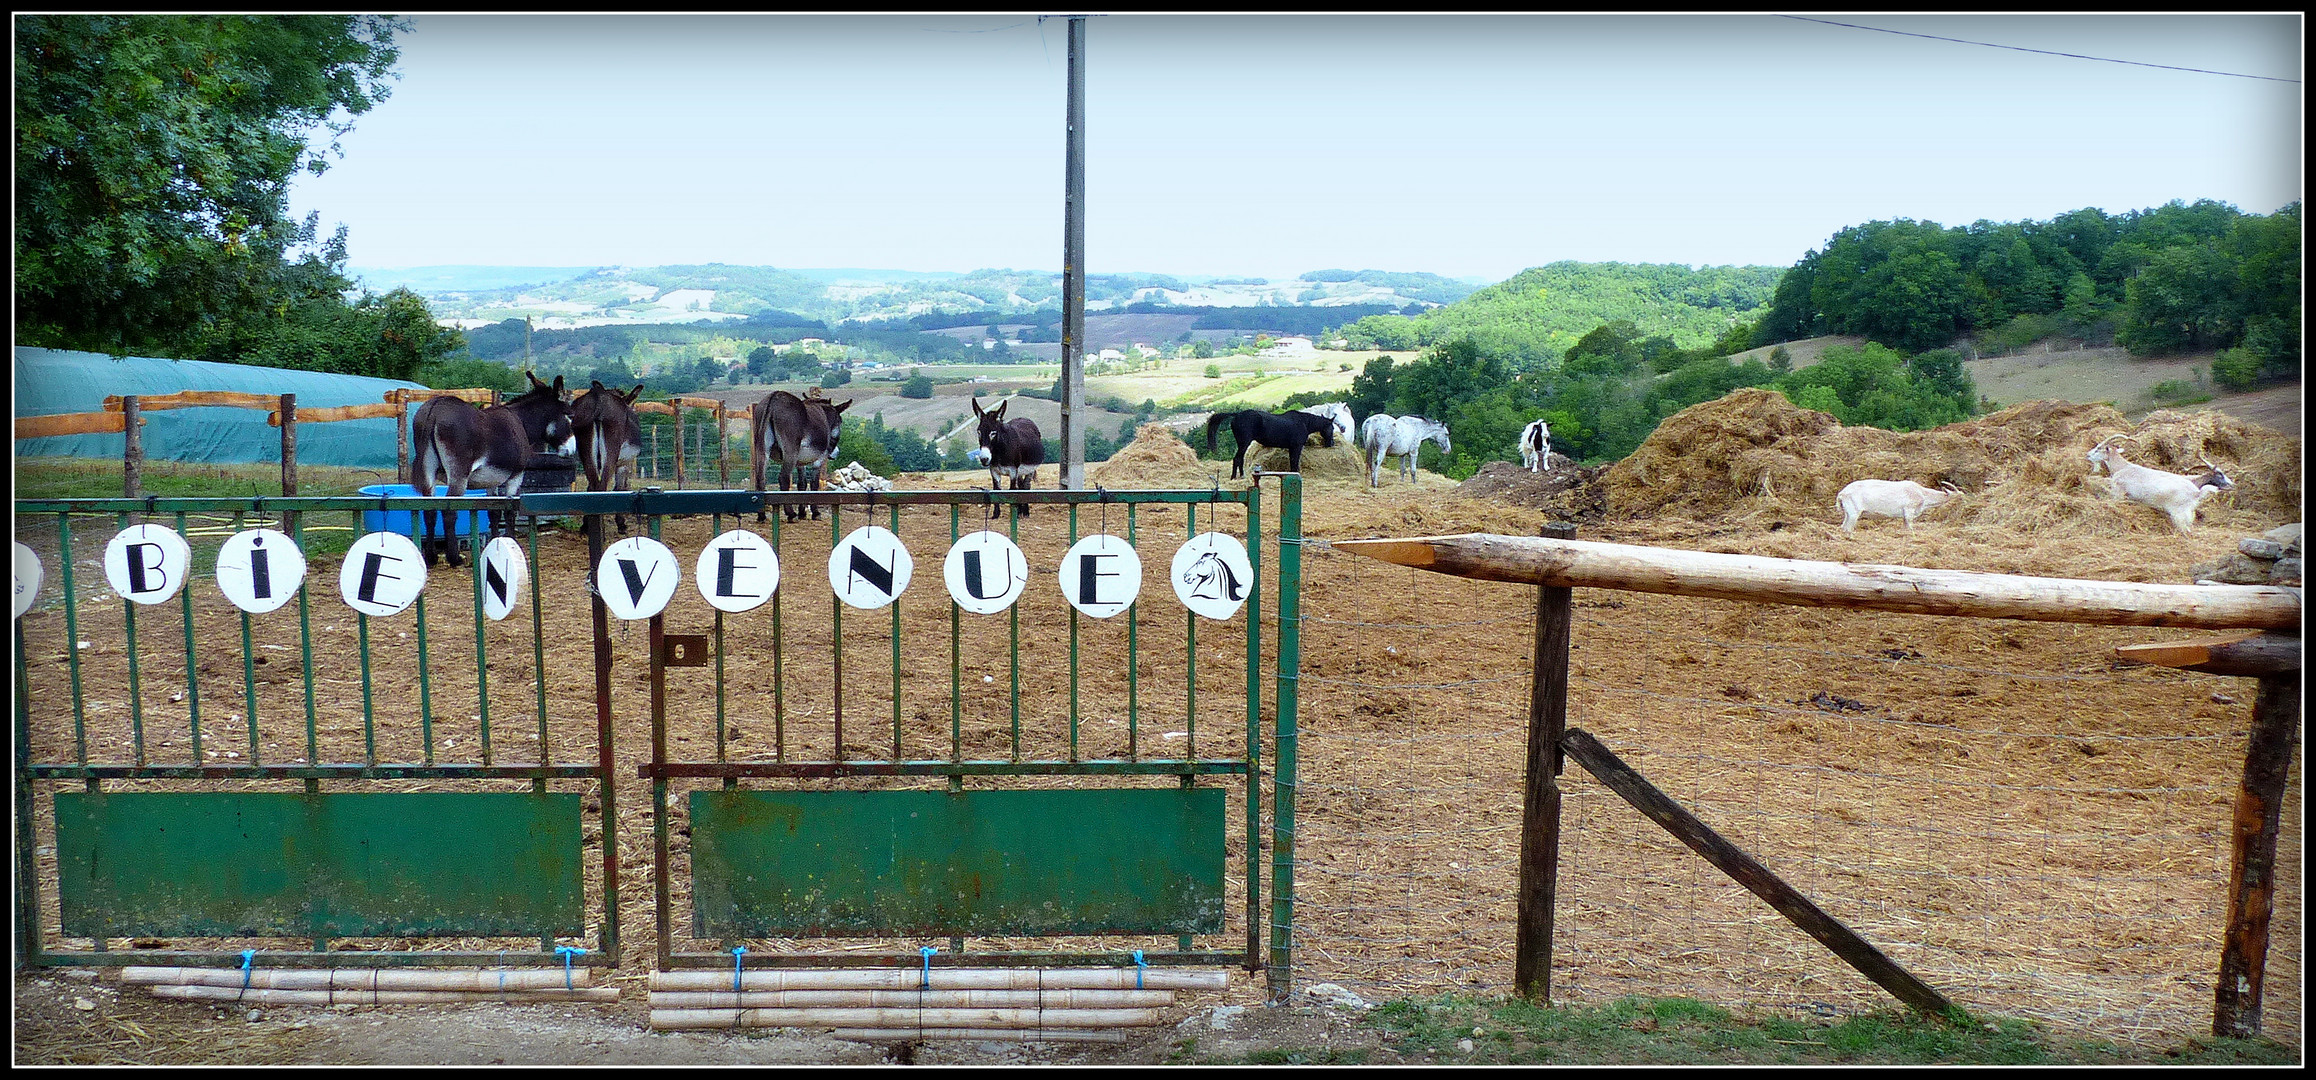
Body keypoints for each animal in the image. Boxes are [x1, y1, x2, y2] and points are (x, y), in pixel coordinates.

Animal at [409, 373, 572, 565]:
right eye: (570, 416)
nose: (571, 451)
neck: (521, 421)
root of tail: (436, 407)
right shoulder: (517, 476)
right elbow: (510, 511)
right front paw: (511, 541)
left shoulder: (492, 480)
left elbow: (493, 512)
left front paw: (496, 542)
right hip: (459, 475)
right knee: (449, 511)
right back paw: (454, 558)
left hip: (428, 470)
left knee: (429, 509)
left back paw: (431, 557)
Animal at [1204, 407, 1334, 479]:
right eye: (1332, 427)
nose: (1331, 443)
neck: (1304, 422)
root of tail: (1237, 414)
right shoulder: (1296, 447)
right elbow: (1294, 463)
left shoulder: (1292, 448)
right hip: (1244, 443)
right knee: (1237, 459)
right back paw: (1234, 477)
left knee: (1240, 459)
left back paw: (1241, 476)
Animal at [2093, 431, 2232, 530]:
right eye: (2220, 474)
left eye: (2098, 448)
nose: (2231, 484)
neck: (2123, 467)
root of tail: (2196, 493)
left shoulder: (2118, 493)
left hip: (2179, 514)